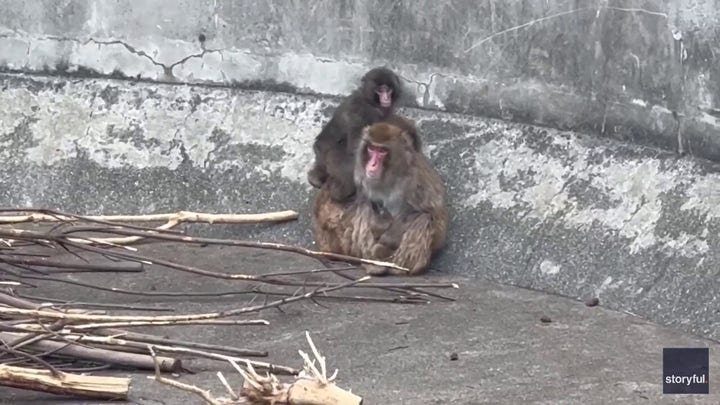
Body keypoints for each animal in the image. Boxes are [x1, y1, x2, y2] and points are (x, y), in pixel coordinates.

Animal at [307, 67, 420, 202]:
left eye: (388, 89)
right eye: (380, 90)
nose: (386, 98)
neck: (369, 101)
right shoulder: (360, 112)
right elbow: (355, 149)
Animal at [310, 121, 448, 276]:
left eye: (382, 151)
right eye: (372, 148)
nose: (372, 164)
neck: (391, 175)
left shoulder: (416, 179)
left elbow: (430, 212)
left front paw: (387, 240)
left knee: (422, 220)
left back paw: (397, 268)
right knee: (364, 207)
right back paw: (374, 266)